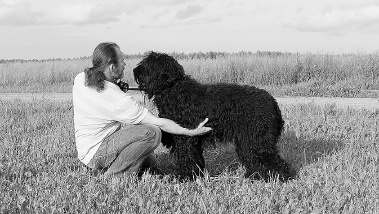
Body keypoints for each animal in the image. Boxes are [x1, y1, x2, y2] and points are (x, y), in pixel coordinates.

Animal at [134, 51, 294, 182]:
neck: (174, 90)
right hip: (248, 141)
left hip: (257, 140)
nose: (135, 71)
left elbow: (186, 157)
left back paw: (278, 177)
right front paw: (196, 175)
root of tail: (272, 102)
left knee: (272, 159)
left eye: (149, 64)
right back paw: (257, 176)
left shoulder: (186, 138)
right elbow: (195, 158)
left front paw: (185, 177)